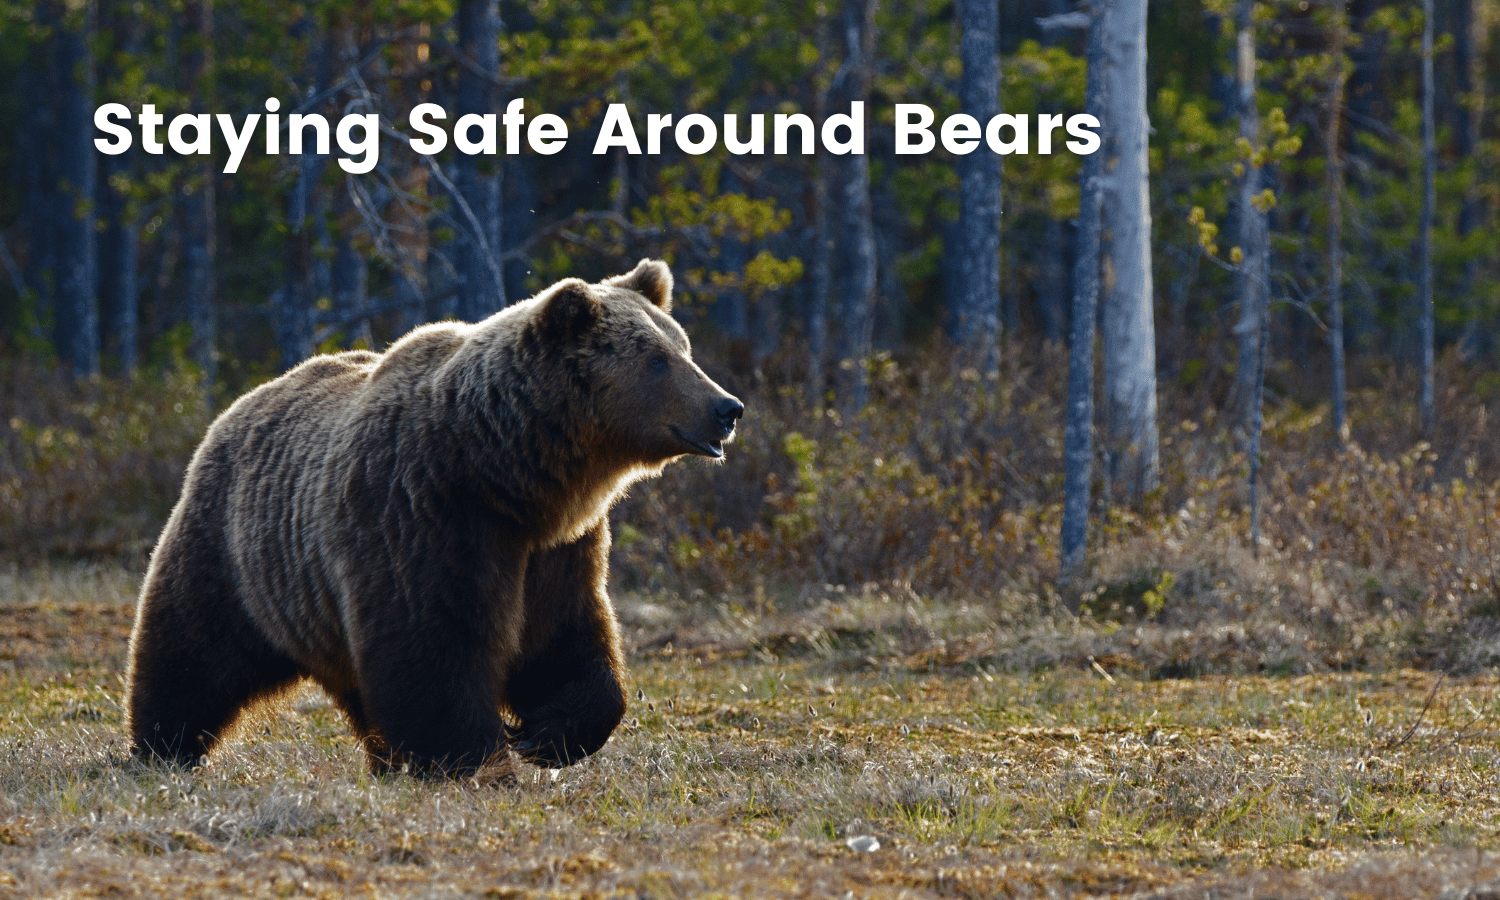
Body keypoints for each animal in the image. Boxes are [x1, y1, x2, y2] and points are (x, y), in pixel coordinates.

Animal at [125, 259, 742, 776]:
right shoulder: (422, 514)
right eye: (656, 359)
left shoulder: (558, 548)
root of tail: (239, 405)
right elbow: (433, 645)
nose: (727, 407)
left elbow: (567, 636)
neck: (507, 474)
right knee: (191, 651)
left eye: (683, 347)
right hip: (237, 552)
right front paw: (474, 757)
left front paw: (546, 733)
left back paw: (384, 759)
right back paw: (162, 747)